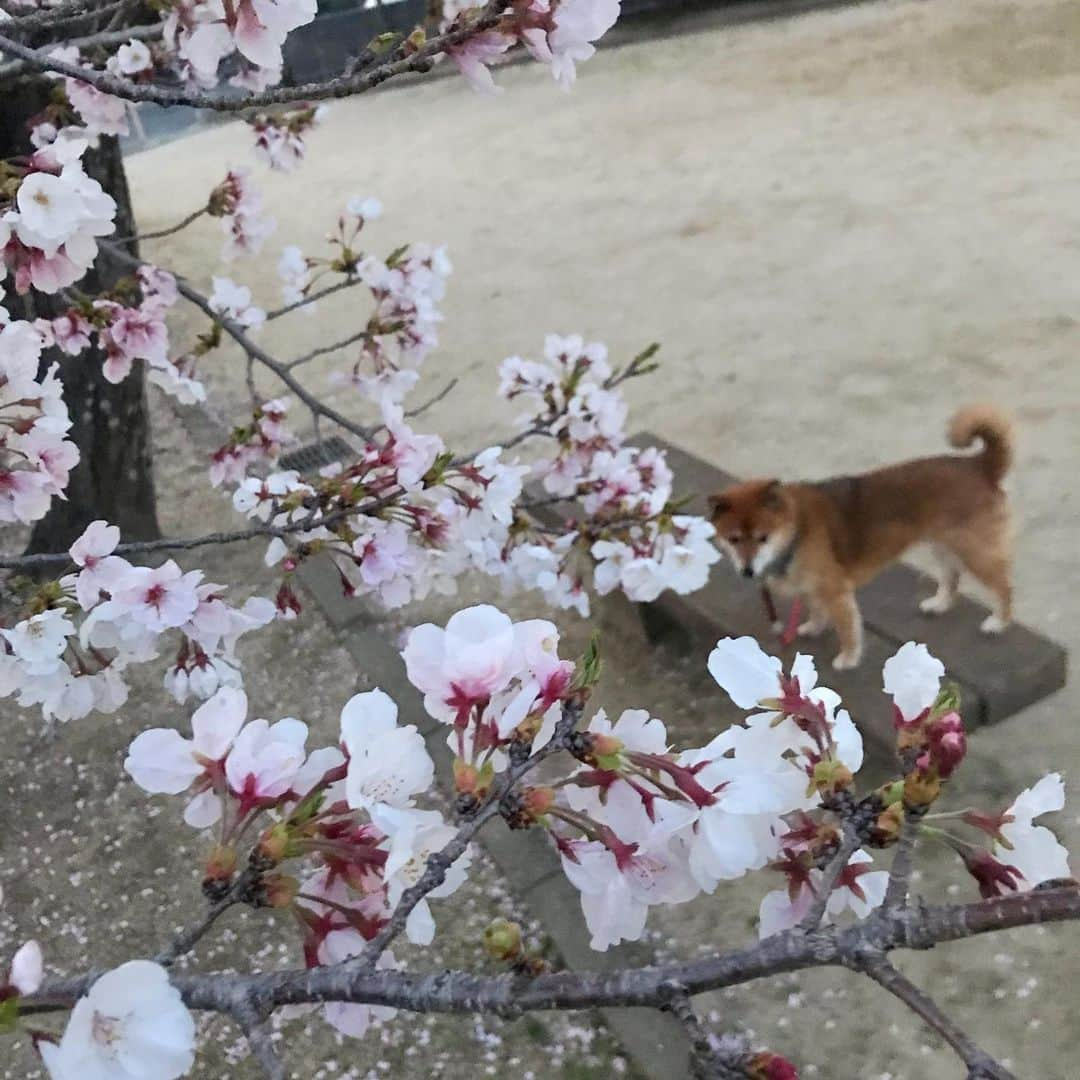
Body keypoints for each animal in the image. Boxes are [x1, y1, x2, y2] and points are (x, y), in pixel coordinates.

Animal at [708, 408, 1010, 669]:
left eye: (763, 538)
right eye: (734, 539)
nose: (748, 571)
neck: (796, 531)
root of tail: (980, 466)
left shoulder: (836, 591)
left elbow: (847, 629)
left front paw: (848, 658)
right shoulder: (812, 588)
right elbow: (816, 611)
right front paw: (813, 627)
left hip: (974, 551)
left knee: (1004, 586)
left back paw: (999, 622)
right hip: (943, 544)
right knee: (952, 577)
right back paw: (940, 604)